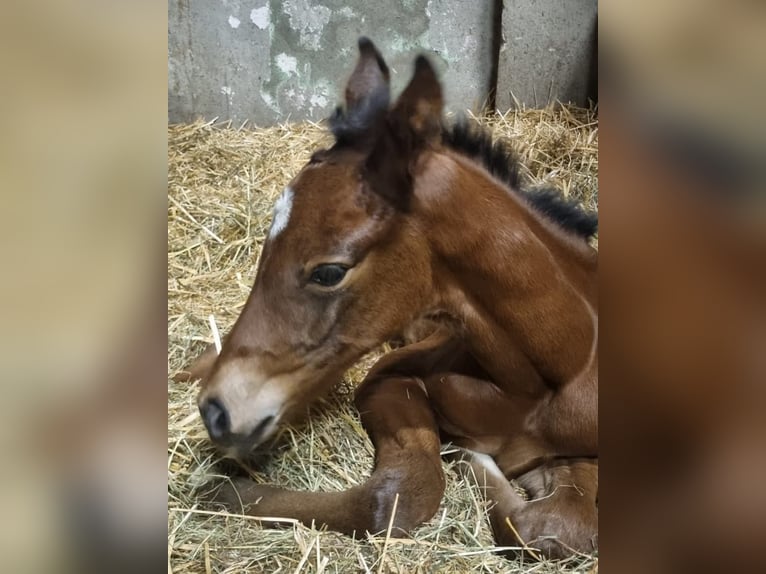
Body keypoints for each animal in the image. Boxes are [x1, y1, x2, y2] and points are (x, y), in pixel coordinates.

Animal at [186, 38, 600, 560]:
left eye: (329, 271)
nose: (217, 411)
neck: (551, 376)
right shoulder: (386, 378)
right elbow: (399, 494)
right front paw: (224, 491)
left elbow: (555, 527)